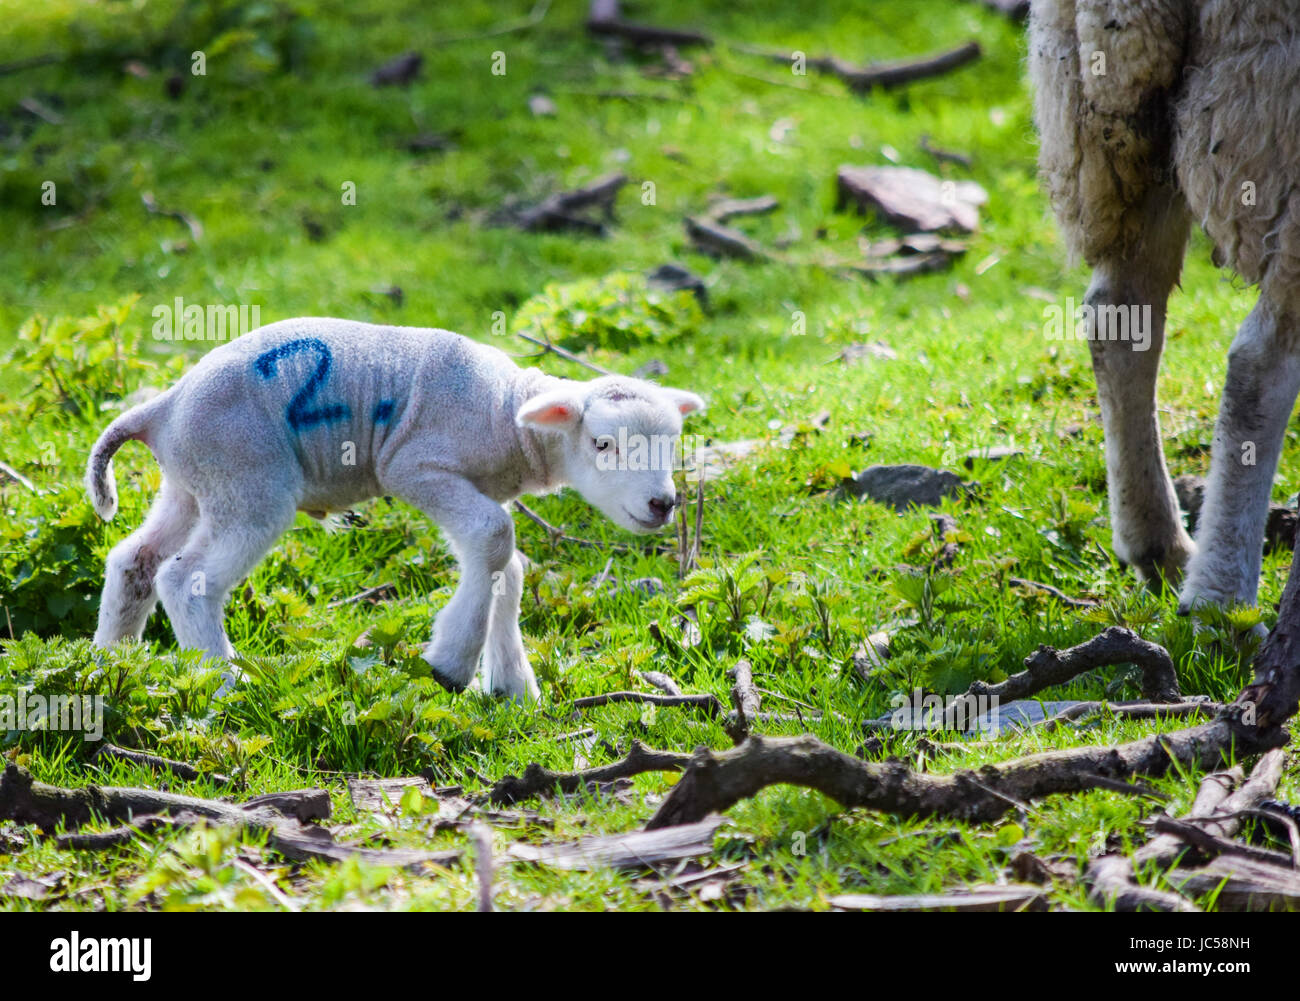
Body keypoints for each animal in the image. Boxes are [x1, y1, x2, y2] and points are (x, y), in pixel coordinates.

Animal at [86, 315, 707, 696]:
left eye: (672, 443)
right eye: (602, 444)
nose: (662, 504)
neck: (508, 415)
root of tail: (163, 407)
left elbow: (508, 569)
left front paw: (511, 687)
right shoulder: (416, 466)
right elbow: (495, 538)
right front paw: (451, 663)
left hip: (193, 483)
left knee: (135, 560)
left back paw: (111, 664)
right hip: (247, 480)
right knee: (185, 580)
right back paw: (225, 681)